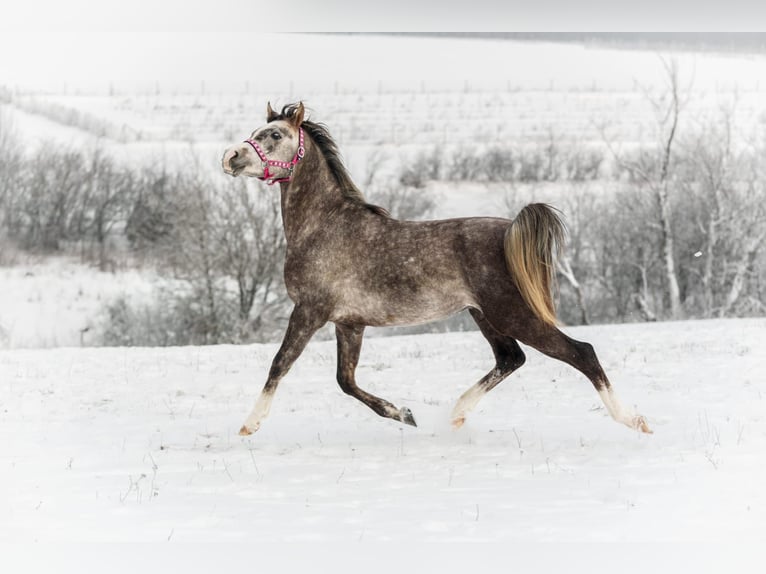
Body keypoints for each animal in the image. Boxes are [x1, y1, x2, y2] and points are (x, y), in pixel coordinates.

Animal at [221, 102, 652, 436]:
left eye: (274, 135)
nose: (230, 157)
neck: (324, 227)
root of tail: (511, 230)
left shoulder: (310, 311)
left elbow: (280, 364)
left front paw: (249, 425)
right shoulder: (349, 323)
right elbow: (347, 381)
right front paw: (404, 414)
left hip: (514, 314)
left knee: (582, 353)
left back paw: (634, 420)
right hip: (485, 315)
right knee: (510, 358)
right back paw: (456, 414)